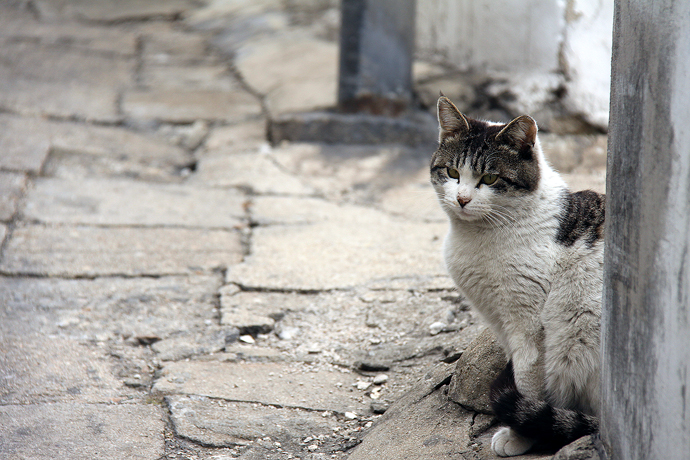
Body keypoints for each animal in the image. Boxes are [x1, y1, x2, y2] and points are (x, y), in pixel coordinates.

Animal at [430, 97, 600, 456]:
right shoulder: (499, 320)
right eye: (452, 172)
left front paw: (520, 435)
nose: (462, 199)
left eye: (490, 178)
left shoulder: (528, 324)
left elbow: (526, 378)